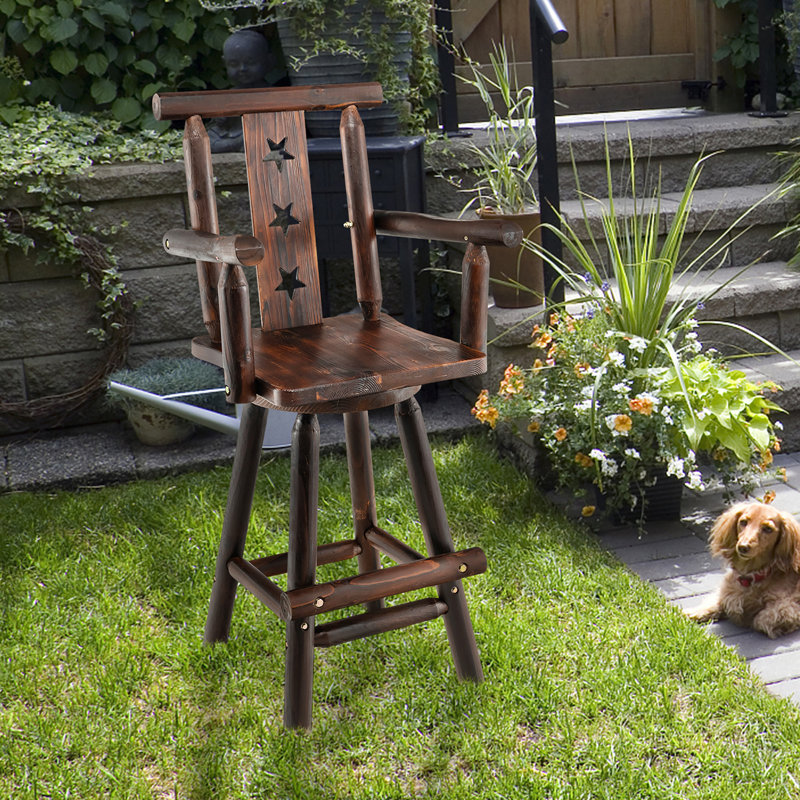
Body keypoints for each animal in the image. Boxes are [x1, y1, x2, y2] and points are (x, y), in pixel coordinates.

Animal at [684, 506, 800, 636]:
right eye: (743, 522)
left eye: (768, 529)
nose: (743, 547)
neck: (750, 577)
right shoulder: (727, 591)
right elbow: (717, 601)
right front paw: (693, 612)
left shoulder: (789, 604)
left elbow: (763, 619)